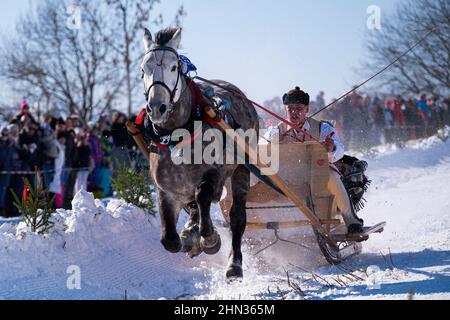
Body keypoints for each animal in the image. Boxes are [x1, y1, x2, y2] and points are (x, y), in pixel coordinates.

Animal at [141, 26, 260, 278]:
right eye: (143, 68)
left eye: (174, 67)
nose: (157, 107)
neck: (178, 135)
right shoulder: (166, 190)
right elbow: (169, 240)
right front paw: (189, 238)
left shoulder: (214, 173)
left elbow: (204, 196)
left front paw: (210, 239)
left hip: (241, 169)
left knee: (236, 216)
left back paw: (234, 264)